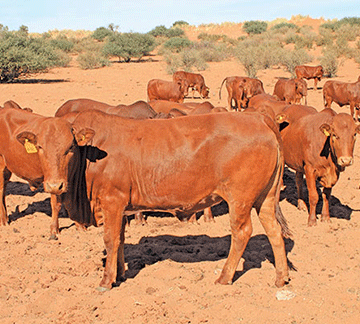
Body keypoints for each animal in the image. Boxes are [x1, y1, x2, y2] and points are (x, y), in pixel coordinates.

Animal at [0, 106, 93, 238]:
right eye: (40, 147)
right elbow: (56, 204)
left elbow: (71, 202)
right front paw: (54, 229)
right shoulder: (52, 182)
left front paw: (79, 226)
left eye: (71, 147)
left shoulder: (67, 179)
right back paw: (3, 220)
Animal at [69, 109, 290, 292]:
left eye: (70, 147)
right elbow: (120, 239)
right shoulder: (121, 208)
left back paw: (225, 277)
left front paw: (106, 280)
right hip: (266, 198)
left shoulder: (112, 202)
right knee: (274, 230)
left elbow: (110, 239)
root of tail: (257, 117)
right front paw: (120, 274)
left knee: (242, 232)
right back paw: (281, 277)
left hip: (240, 198)